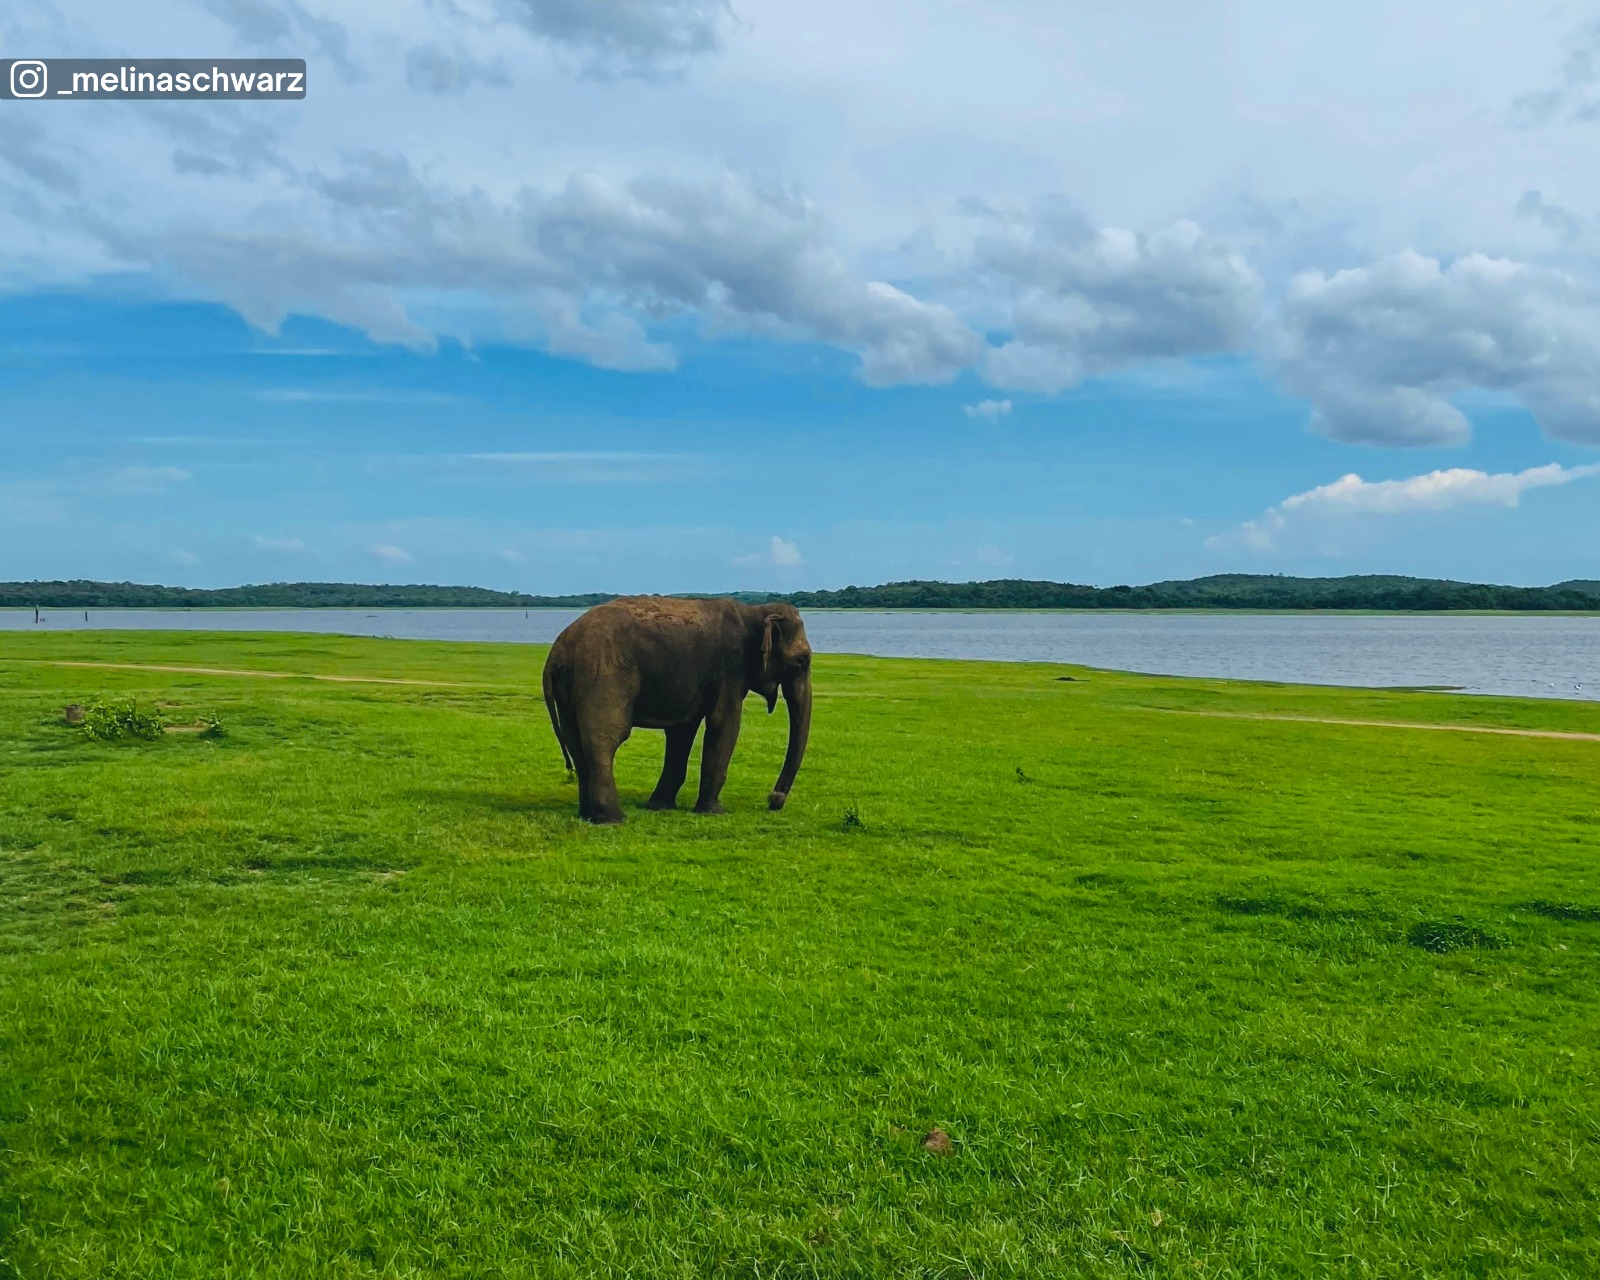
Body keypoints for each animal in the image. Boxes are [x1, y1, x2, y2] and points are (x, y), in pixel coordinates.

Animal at [541, 597, 813, 825]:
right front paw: (715, 812)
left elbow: (682, 731)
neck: (754, 611)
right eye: (801, 661)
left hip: (570, 688)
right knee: (605, 737)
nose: (773, 800)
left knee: (575, 742)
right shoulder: (729, 670)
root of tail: (557, 651)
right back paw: (613, 819)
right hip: (604, 676)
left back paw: (587, 815)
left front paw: (659, 806)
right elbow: (724, 724)